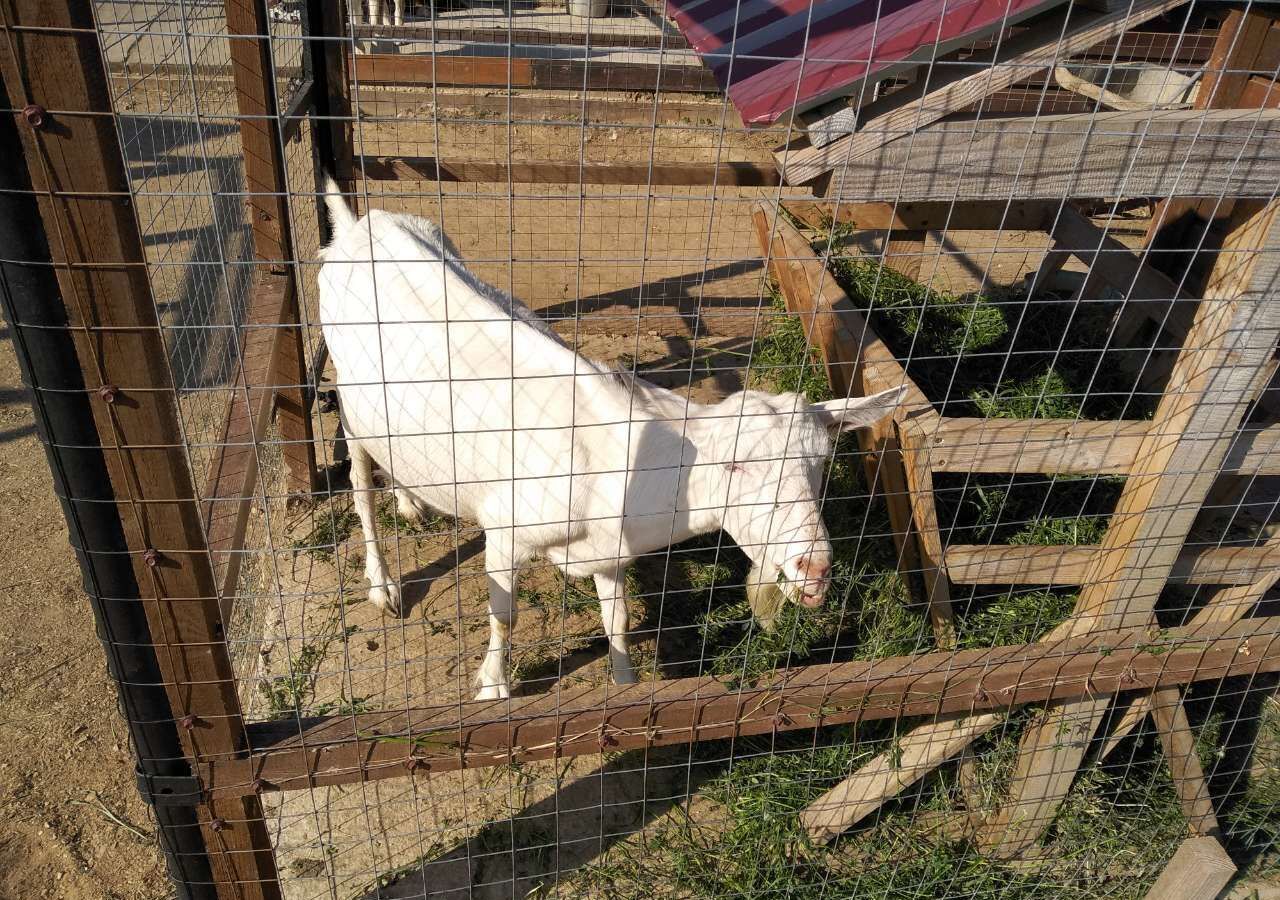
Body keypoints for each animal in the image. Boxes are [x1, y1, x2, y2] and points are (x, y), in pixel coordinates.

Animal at [320, 181, 911, 706]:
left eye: (821, 465)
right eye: (735, 466)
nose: (814, 568)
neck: (611, 467)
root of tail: (356, 228)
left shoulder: (610, 553)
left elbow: (619, 621)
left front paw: (625, 688)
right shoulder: (506, 530)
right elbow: (504, 614)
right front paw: (492, 685)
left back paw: (411, 501)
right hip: (348, 401)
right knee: (360, 484)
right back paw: (382, 585)